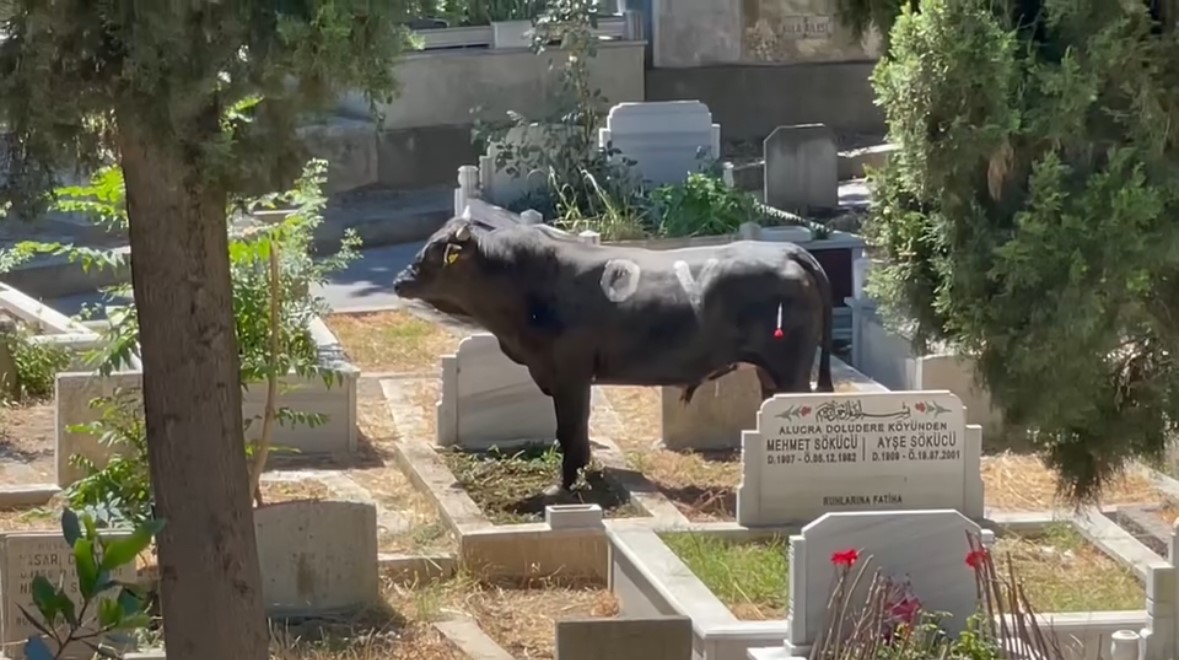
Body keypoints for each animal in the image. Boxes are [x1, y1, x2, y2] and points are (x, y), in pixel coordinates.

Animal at [391, 215, 834, 490]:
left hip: (791, 371)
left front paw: (566, 485)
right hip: (771, 372)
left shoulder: (569, 372)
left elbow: (570, 429)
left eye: (430, 254)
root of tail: (787, 251)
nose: (397, 281)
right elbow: (574, 430)